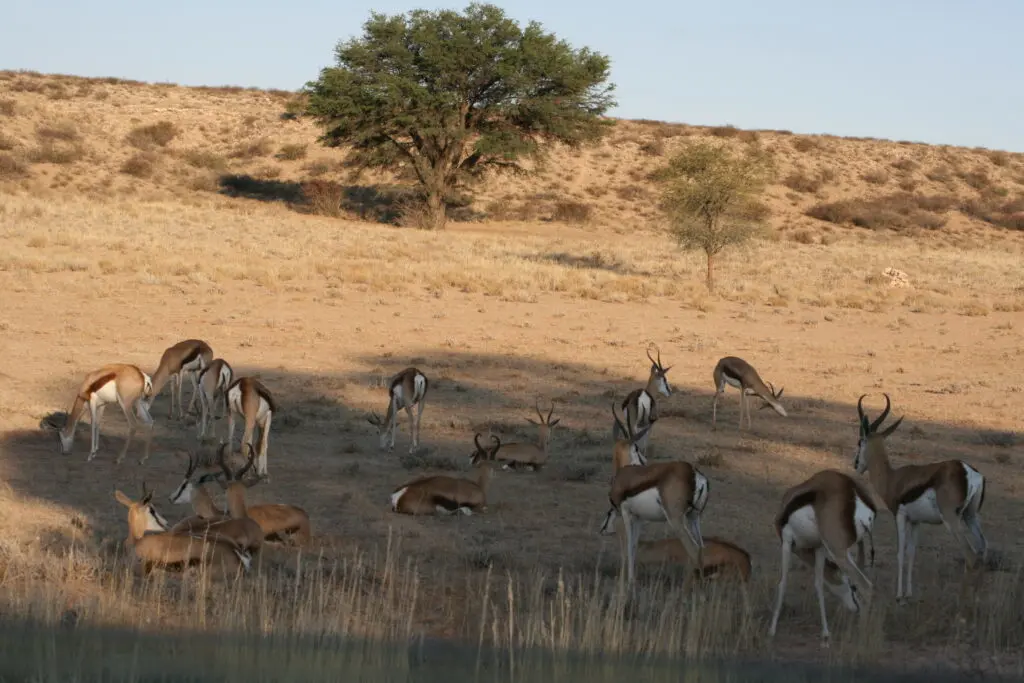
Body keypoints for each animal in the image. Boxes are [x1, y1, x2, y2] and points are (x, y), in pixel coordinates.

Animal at [770, 471, 876, 647]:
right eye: (851, 587)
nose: (855, 608)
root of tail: (854, 490)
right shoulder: (819, 548)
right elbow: (819, 584)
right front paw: (825, 633)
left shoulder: (786, 541)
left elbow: (782, 583)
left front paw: (771, 630)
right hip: (847, 550)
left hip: (837, 551)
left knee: (867, 586)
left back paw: (860, 641)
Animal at [851, 395, 987, 602]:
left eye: (860, 442)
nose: (856, 464)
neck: (893, 478)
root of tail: (969, 472)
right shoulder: (916, 521)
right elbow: (912, 554)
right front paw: (908, 594)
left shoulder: (900, 516)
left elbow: (900, 553)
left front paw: (899, 596)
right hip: (970, 516)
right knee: (982, 551)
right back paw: (977, 601)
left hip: (952, 520)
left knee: (970, 556)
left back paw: (962, 607)